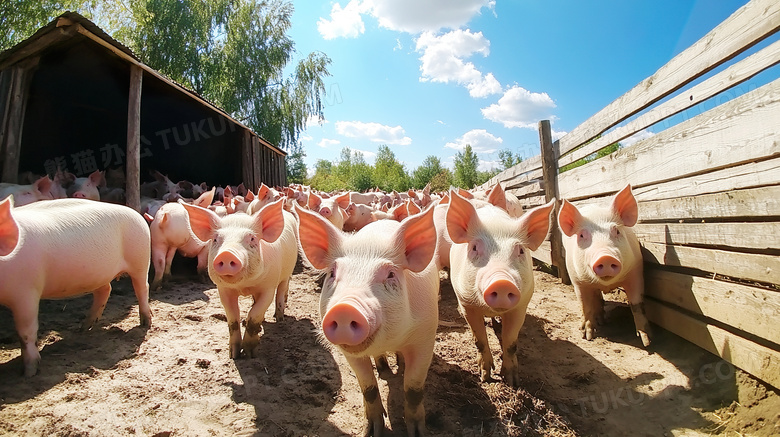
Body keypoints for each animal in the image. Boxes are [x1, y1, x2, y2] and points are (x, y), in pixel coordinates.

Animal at [0, 197, 153, 374]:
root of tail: (137, 215)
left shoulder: (26, 292)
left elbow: (25, 332)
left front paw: (29, 372)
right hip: (99, 273)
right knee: (105, 290)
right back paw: (84, 327)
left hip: (140, 258)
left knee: (142, 287)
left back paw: (145, 322)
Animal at [181, 198, 298, 358]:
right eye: (216, 239)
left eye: (252, 238)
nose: (227, 254)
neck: (244, 286)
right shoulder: (223, 289)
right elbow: (232, 320)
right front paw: (234, 355)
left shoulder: (268, 286)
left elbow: (255, 315)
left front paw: (250, 353)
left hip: (287, 272)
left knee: (282, 291)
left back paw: (279, 318)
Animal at [294, 203, 438, 434]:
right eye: (332, 273)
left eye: (390, 274)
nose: (345, 308)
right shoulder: (349, 353)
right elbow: (368, 388)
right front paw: (371, 431)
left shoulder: (425, 337)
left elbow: (413, 389)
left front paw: (418, 433)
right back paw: (384, 369)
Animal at [444, 191, 556, 384]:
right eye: (474, 247)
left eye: (520, 250)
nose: (502, 282)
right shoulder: (465, 304)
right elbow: (479, 341)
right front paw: (485, 377)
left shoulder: (521, 305)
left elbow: (511, 343)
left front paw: (511, 381)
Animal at [556, 185, 652, 348]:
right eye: (582, 235)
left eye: (617, 231)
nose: (605, 256)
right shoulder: (577, 280)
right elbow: (585, 306)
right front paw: (587, 337)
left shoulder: (636, 271)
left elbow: (637, 304)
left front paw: (648, 343)